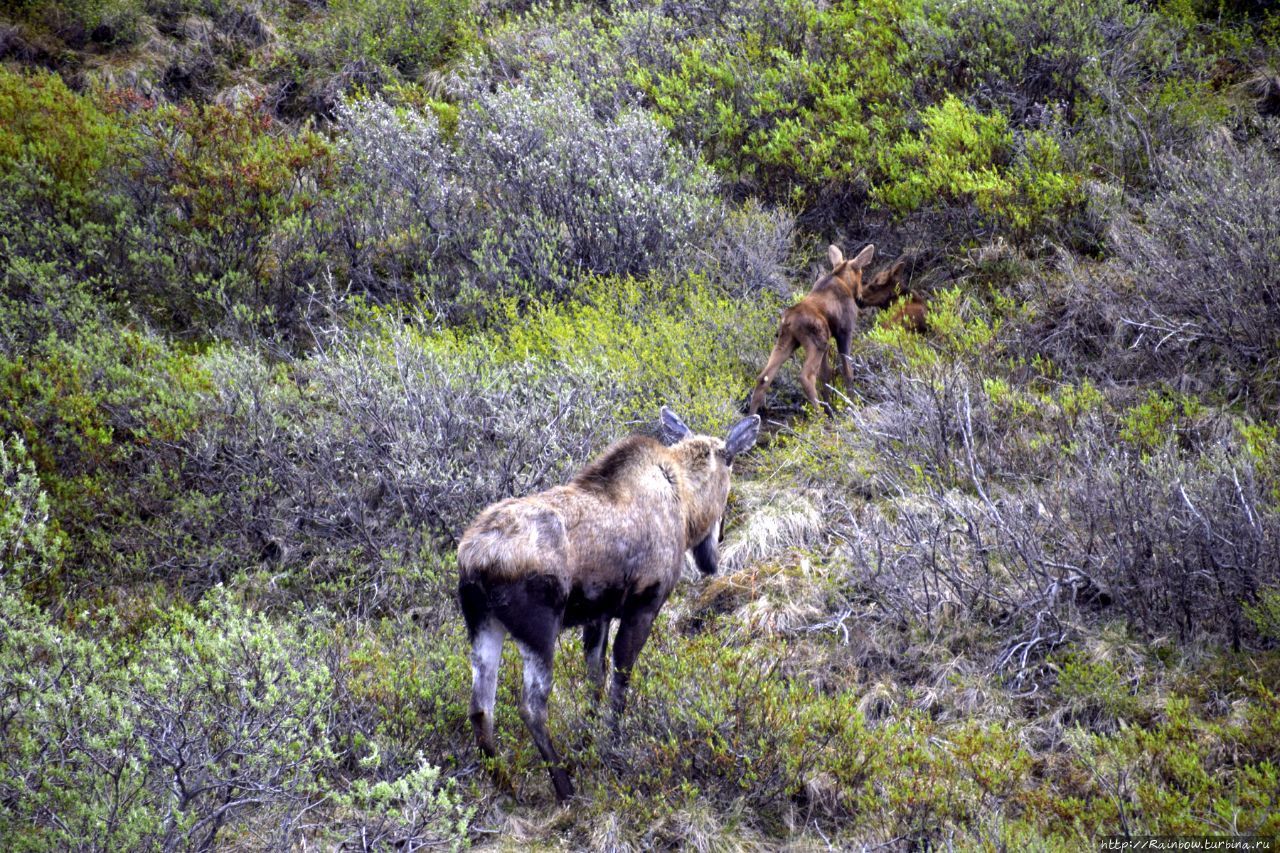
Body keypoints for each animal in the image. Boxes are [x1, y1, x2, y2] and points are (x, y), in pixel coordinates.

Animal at [458, 404, 757, 799]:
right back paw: (563, 785)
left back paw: (502, 780)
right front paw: (611, 747)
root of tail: (475, 560)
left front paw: (586, 744)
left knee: (480, 706)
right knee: (532, 707)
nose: (717, 545)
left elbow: (594, 681)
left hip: (482, 623)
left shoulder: (597, 615)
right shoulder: (644, 604)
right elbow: (620, 679)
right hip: (538, 628)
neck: (688, 509)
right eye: (731, 462)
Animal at [747, 242, 875, 414]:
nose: (861, 298)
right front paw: (852, 405)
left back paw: (752, 415)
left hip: (787, 341)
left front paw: (830, 408)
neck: (843, 279)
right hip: (817, 343)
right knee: (806, 376)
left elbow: (825, 375)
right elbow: (847, 371)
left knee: (764, 377)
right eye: (861, 275)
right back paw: (819, 415)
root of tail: (789, 320)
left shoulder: (830, 340)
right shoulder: (844, 332)